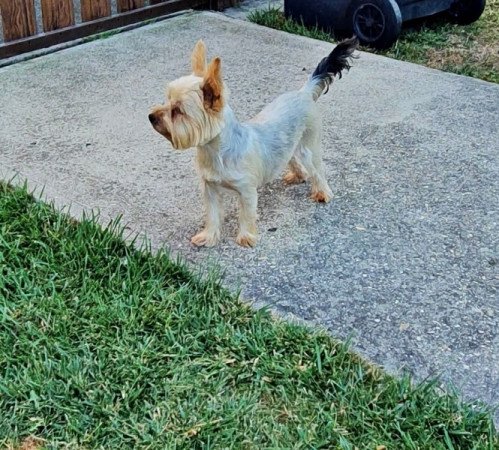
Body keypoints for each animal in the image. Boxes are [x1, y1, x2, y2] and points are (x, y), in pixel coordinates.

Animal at [150, 38, 358, 248]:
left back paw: (323, 193)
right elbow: (212, 215)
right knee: (293, 160)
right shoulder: (209, 188)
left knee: (317, 169)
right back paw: (298, 176)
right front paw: (208, 237)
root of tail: (304, 93)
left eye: (178, 111)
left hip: (309, 146)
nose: (151, 117)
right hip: (288, 145)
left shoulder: (247, 190)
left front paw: (246, 237)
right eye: (167, 100)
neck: (216, 151)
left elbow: (247, 214)